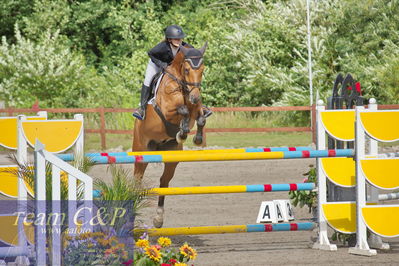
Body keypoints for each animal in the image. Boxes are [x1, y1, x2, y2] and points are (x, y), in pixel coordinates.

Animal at [134, 42, 209, 228]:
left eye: (202, 69)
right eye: (187, 70)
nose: (195, 96)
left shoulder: (196, 109)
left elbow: (200, 117)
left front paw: (195, 138)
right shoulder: (167, 110)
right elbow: (182, 110)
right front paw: (182, 133)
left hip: (171, 158)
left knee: (164, 182)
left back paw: (158, 218)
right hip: (141, 152)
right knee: (137, 179)